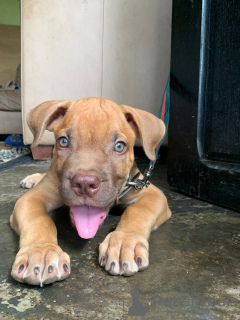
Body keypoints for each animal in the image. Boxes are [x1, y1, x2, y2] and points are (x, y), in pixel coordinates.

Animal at [9, 97, 171, 284]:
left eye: (119, 146)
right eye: (63, 142)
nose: (85, 184)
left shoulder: (152, 193)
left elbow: (137, 211)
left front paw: (124, 241)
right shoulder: (32, 198)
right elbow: (38, 218)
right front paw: (41, 251)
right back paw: (34, 178)